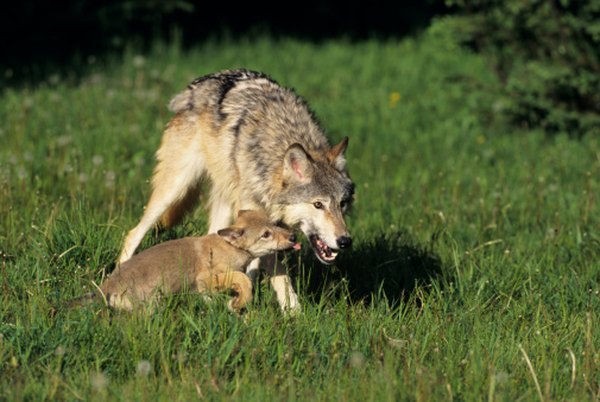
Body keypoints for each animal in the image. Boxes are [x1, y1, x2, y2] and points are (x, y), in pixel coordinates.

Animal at [118, 70, 354, 312]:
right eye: (318, 204)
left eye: (342, 203)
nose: (345, 241)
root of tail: (195, 87)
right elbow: (280, 276)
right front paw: (294, 313)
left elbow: (253, 266)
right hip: (173, 190)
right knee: (133, 234)